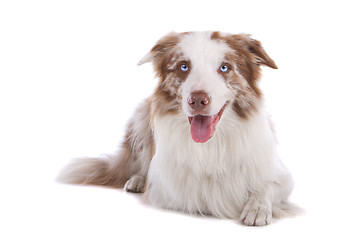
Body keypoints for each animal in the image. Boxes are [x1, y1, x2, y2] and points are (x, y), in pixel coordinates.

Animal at [57, 31, 296, 226]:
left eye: (224, 67)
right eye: (183, 66)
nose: (197, 100)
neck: (212, 145)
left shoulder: (282, 176)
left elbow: (267, 187)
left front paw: (257, 208)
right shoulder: (168, 188)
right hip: (141, 118)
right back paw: (137, 180)